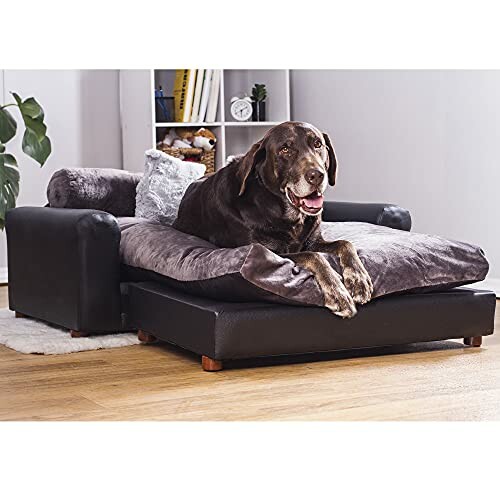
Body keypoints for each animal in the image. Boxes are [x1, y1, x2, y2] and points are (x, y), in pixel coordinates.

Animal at [174, 120, 374, 316]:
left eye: (318, 144)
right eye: (285, 149)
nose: (317, 175)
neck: (287, 215)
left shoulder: (314, 240)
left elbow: (345, 243)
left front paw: (358, 279)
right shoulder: (270, 252)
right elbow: (313, 256)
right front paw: (337, 292)